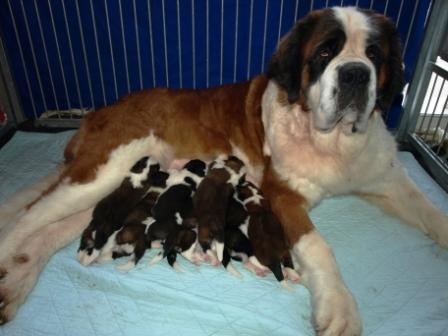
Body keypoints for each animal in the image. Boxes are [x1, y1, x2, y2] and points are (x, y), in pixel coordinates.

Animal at [0, 5, 448, 336]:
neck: (335, 142)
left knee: (56, 231)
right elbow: (318, 247)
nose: (355, 73)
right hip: (101, 172)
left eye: (374, 55)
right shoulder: (281, 195)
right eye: (325, 53)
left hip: (109, 192)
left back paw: (15, 281)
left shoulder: (387, 176)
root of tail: (97, 112)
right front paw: (339, 308)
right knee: (26, 219)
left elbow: (430, 212)